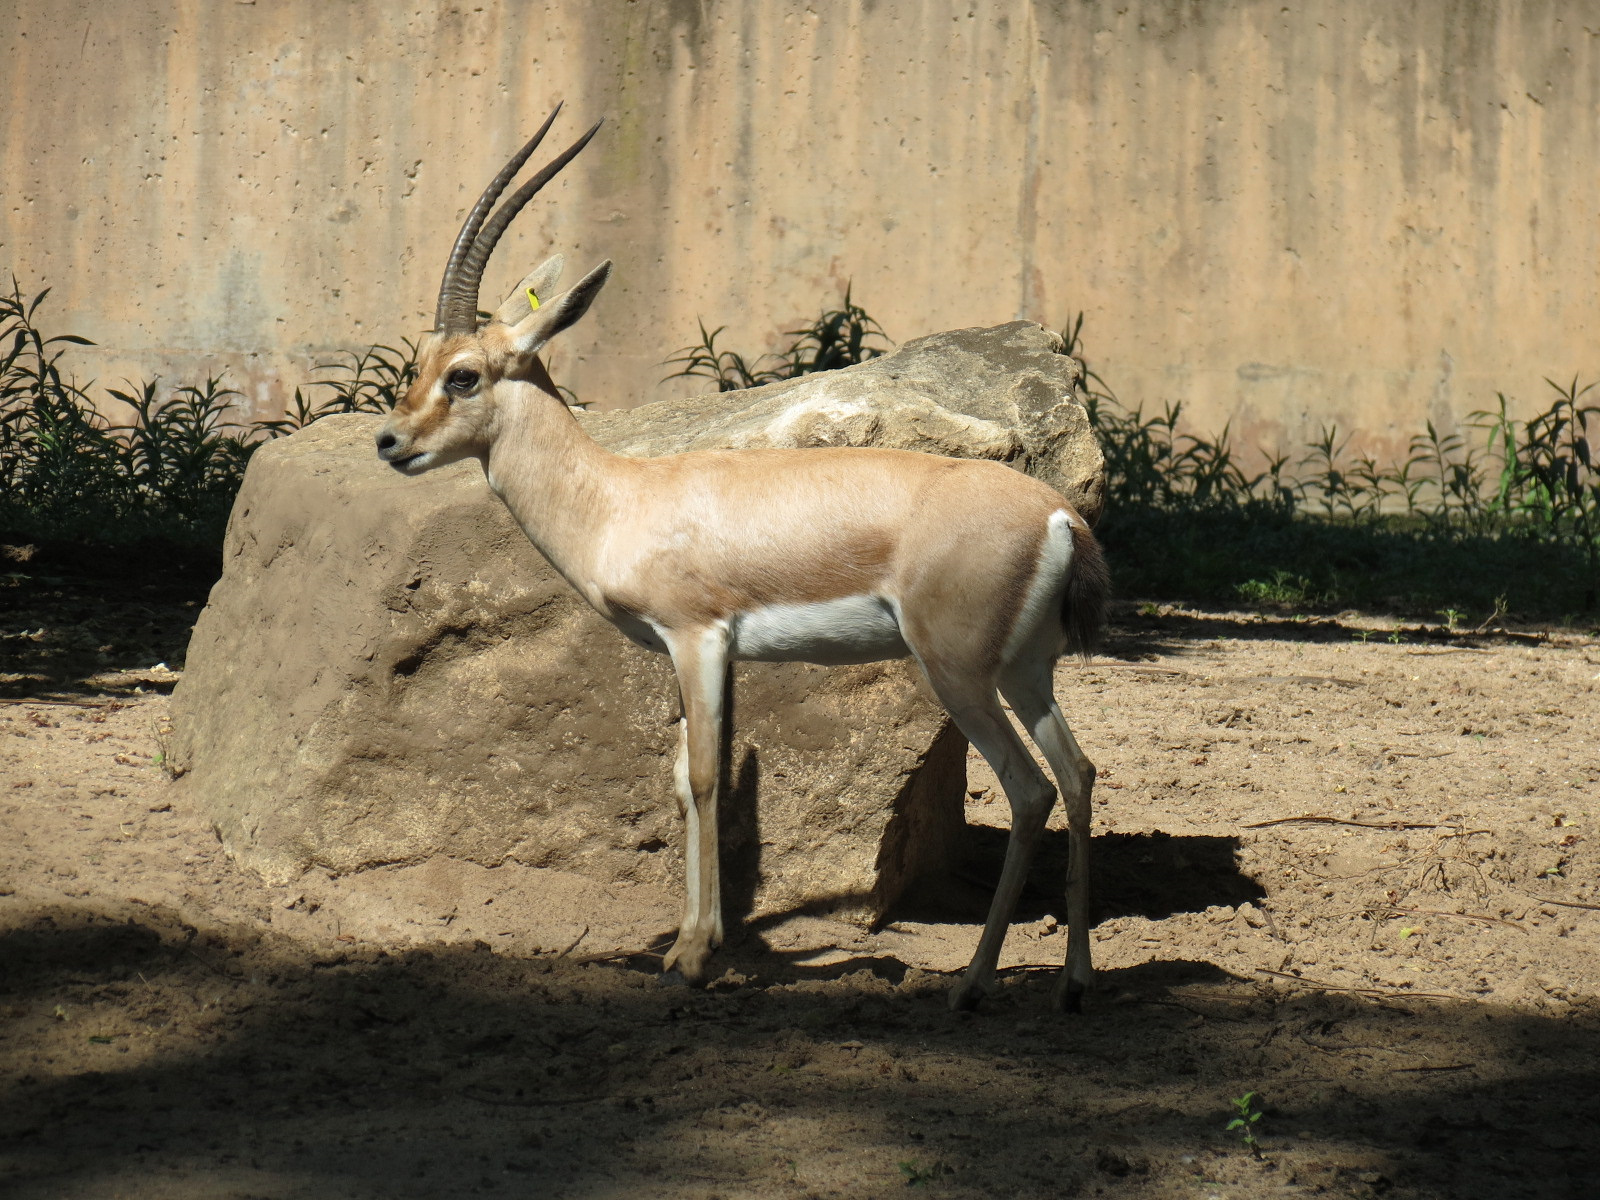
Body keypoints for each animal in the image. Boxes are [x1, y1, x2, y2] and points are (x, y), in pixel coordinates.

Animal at [375, 107, 1110, 1012]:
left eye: (465, 375)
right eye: (420, 361)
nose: (389, 441)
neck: (621, 497)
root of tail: (1057, 515)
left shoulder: (698, 638)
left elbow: (702, 778)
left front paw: (694, 955)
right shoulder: (694, 654)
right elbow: (685, 778)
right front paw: (690, 945)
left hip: (960, 673)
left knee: (1030, 788)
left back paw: (971, 984)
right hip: (1026, 671)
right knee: (1077, 773)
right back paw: (1074, 981)